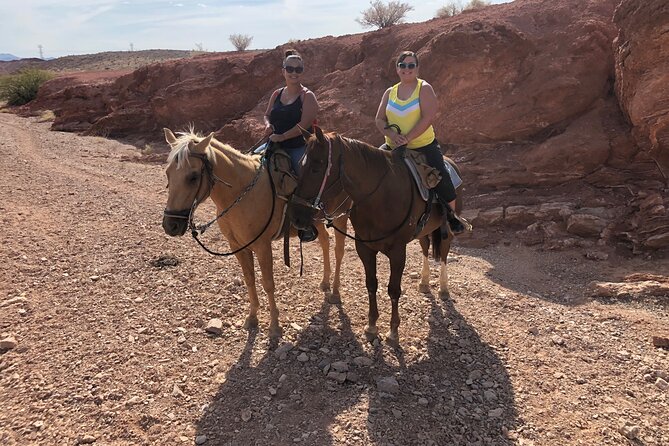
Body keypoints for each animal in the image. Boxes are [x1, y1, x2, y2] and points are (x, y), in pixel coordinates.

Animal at [160, 129, 348, 338]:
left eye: (193, 177)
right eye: (167, 173)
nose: (171, 225)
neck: (241, 193)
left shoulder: (262, 246)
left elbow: (268, 283)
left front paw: (274, 326)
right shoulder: (238, 246)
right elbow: (249, 279)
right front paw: (252, 317)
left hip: (341, 217)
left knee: (339, 250)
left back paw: (335, 292)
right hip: (316, 220)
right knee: (324, 241)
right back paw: (325, 282)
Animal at [288, 127, 464, 344]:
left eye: (316, 167)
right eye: (300, 165)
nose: (295, 216)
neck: (380, 197)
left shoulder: (397, 252)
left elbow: (393, 289)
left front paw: (393, 331)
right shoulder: (365, 248)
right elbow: (371, 285)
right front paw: (372, 326)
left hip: (447, 228)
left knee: (445, 252)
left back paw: (443, 288)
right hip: (425, 230)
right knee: (425, 247)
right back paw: (424, 282)